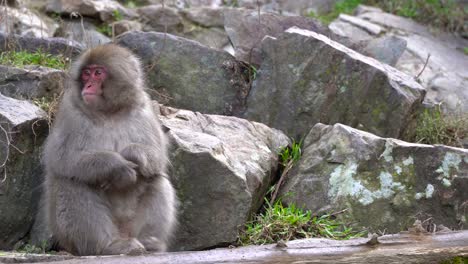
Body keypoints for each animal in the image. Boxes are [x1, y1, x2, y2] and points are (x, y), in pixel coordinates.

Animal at [42, 43, 177, 256]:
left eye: (98, 73)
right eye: (86, 74)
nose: (88, 86)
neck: (110, 112)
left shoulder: (145, 108)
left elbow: (158, 157)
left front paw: (134, 154)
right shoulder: (70, 110)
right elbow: (62, 159)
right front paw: (116, 166)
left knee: (156, 179)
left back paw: (150, 243)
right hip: (68, 238)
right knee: (72, 182)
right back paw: (109, 246)